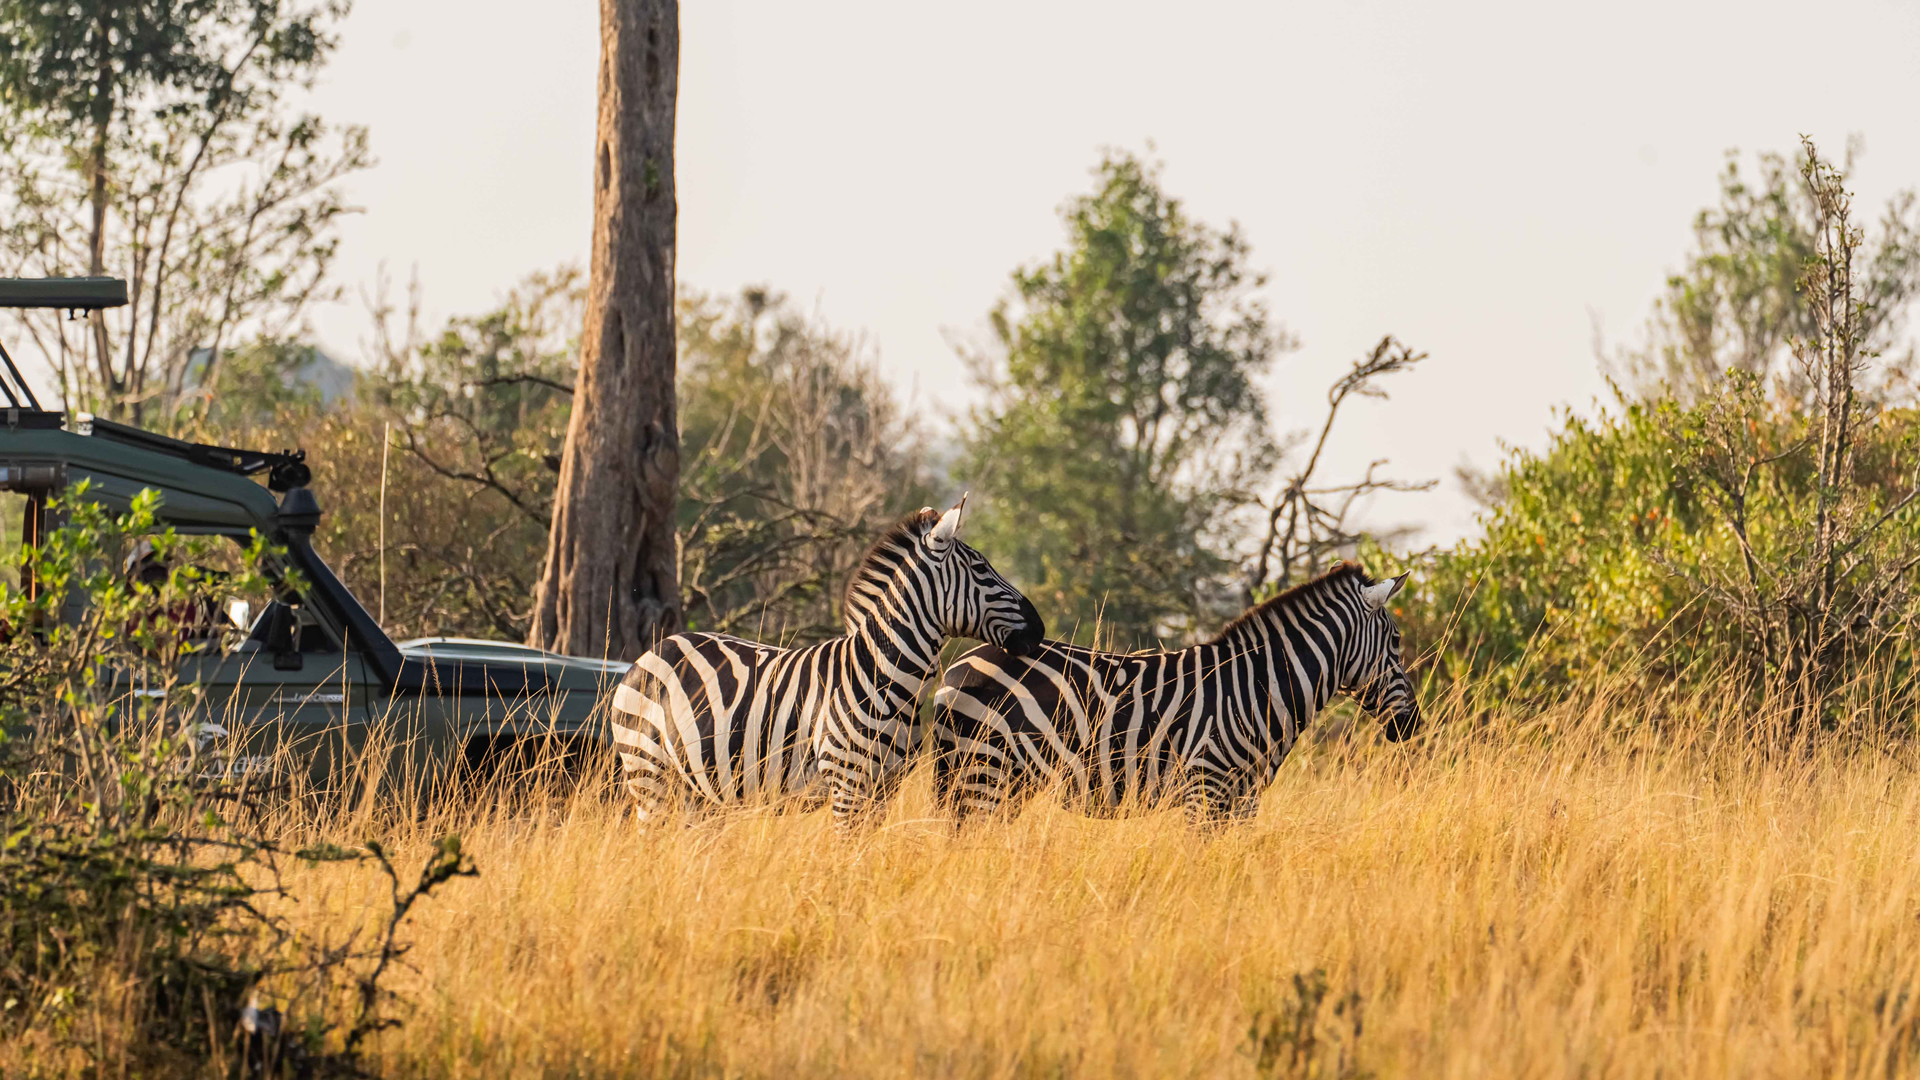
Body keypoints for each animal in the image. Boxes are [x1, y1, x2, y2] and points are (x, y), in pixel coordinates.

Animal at [606, 495, 1044, 822]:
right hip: (648, 771)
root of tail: (653, 651)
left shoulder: (885, 787)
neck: (883, 678)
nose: (1039, 629)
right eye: (982, 569)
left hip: (697, 789)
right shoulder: (847, 785)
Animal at [929, 557, 1428, 818]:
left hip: (995, 781)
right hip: (985, 773)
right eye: (1396, 642)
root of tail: (959, 665)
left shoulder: (1243, 800)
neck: (1259, 690)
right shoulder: (1205, 788)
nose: (1413, 726)